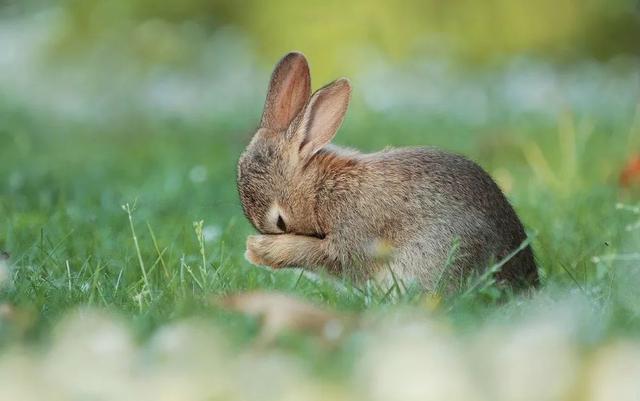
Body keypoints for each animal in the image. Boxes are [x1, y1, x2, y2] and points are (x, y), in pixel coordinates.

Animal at [238, 51, 536, 290]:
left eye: (280, 222)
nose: (257, 243)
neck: (321, 188)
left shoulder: (354, 235)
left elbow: (329, 257)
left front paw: (258, 250)